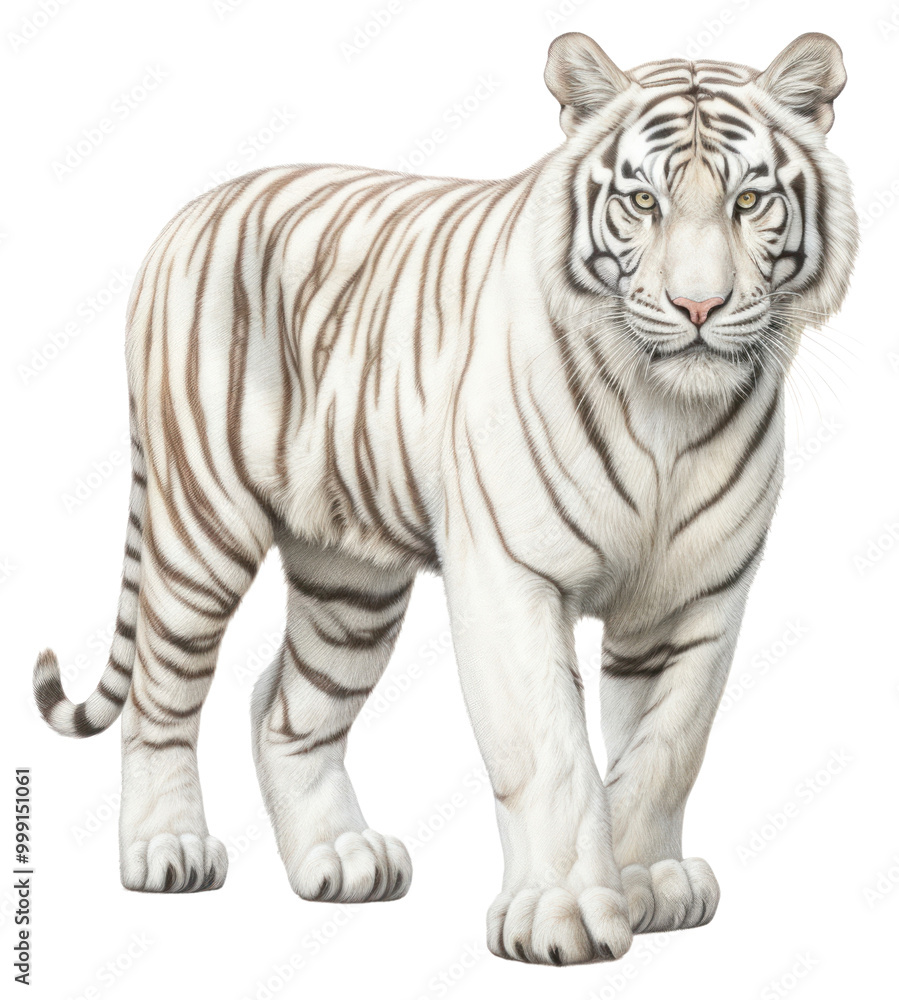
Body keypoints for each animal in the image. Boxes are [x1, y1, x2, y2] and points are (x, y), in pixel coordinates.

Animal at [34, 30, 856, 966]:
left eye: (749, 199)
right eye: (641, 201)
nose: (697, 305)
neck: (667, 415)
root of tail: (191, 210)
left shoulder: (692, 599)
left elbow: (664, 750)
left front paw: (649, 884)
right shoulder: (509, 573)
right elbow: (550, 749)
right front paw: (563, 914)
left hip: (348, 581)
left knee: (285, 707)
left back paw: (339, 858)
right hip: (199, 527)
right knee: (159, 693)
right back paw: (166, 847)